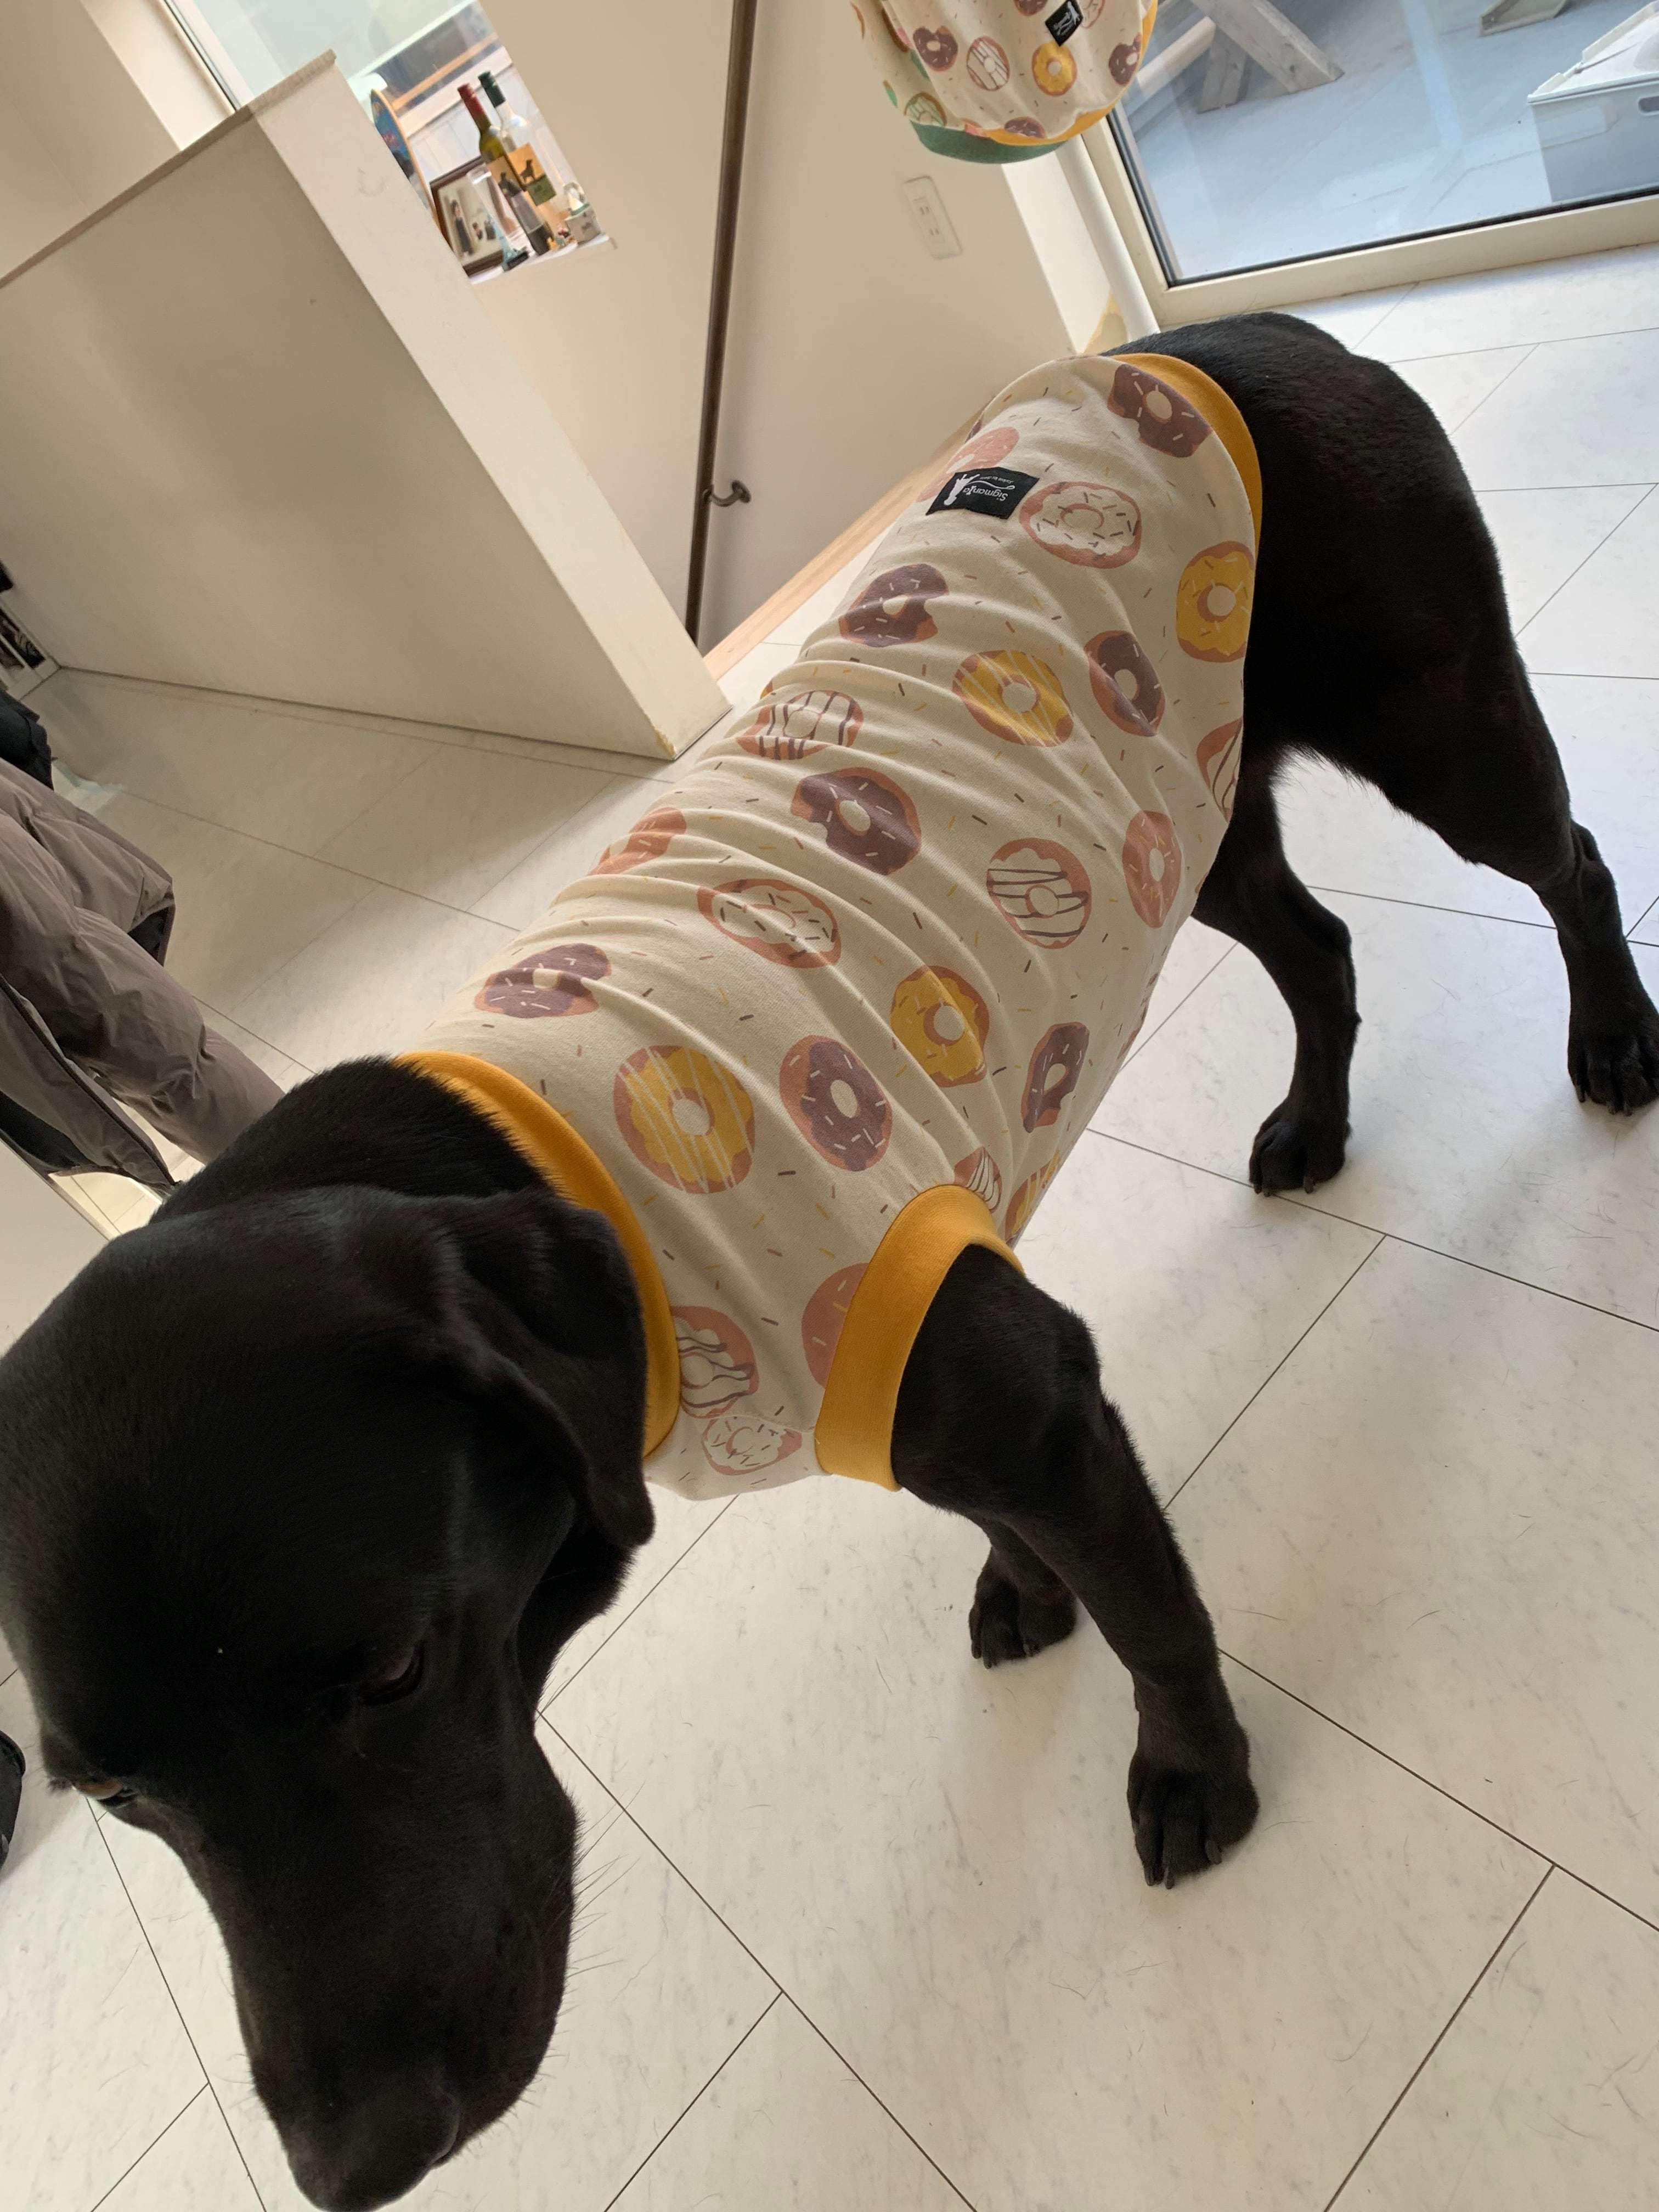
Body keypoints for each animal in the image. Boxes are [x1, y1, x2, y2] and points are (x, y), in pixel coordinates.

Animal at [2, 314, 1655, 2212]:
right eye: (120, 1798)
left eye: (398, 1673)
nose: (360, 2161)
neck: (539, 1163)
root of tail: (1228, 331)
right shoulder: (916, 1361)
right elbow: (1003, 1529)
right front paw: (1026, 1587)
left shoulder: (1018, 1385)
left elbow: (1159, 1616)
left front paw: (1190, 1769)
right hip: (1197, 813)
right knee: (1321, 948)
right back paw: (1316, 1121)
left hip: (1439, 727)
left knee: (1571, 858)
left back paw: (1614, 1036)